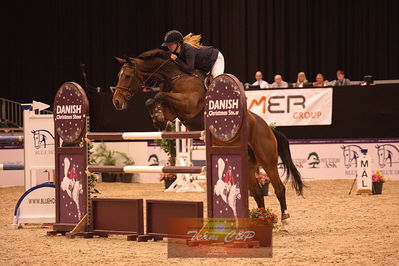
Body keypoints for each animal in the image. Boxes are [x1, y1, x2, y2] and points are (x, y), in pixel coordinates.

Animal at [111, 48, 304, 223]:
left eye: (127, 76)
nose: (117, 101)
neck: (175, 77)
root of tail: (269, 129)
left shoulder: (188, 104)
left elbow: (159, 94)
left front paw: (158, 118)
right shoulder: (172, 112)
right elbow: (151, 100)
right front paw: (158, 119)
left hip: (267, 159)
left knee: (279, 188)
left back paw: (284, 219)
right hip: (248, 163)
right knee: (257, 192)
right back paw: (259, 221)